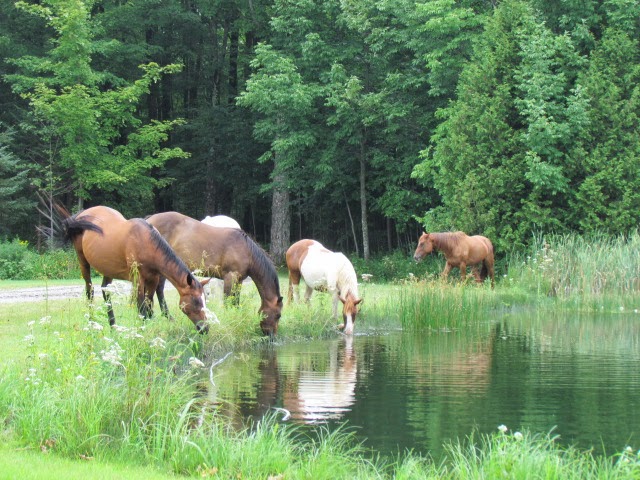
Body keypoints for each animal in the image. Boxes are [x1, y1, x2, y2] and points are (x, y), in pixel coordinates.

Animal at [56, 204, 210, 332]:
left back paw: (113, 326)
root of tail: (81, 215)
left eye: (204, 299)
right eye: (196, 301)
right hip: (83, 261)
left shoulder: (153, 279)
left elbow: (149, 307)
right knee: (90, 291)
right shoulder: (138, 280)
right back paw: (92, 322)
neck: (146, 243)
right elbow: (142, 309)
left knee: (105, 291)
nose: (205, 328)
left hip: (108, 269)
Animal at [149, 212, 284, 336]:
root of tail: (149, 219)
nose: (272, 336)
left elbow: (235, 301)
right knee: (159, 289)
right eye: (278, 315)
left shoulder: (239, 280)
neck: (246, 250)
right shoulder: (230, 277)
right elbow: (228, 301)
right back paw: (166, 316)